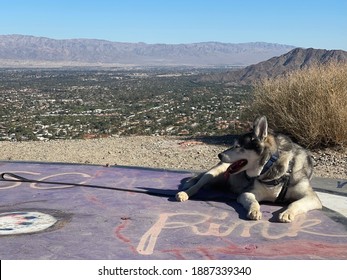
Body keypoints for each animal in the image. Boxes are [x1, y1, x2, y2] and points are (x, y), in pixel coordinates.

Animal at [177, 116, 324, 223]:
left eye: (237, 146)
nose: (219, 155)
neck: (270, 168)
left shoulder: (312, 197)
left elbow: (295, 204)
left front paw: (287, 213)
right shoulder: (248, 193)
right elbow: (254, 202)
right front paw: (254, 211)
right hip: (214, 172)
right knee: (198, 183)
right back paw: (185, 193)